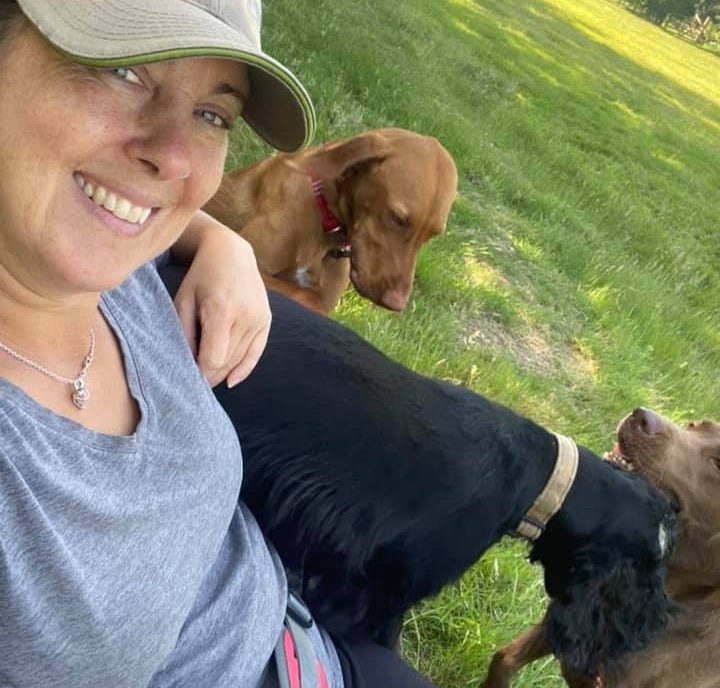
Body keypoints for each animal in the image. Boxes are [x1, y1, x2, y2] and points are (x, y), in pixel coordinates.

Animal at [203, 128, 458, 314]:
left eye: (432, 235)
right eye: (396, 218)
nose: (396, 304)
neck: (326, 227)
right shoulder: (247, 268)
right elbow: (306, 296)